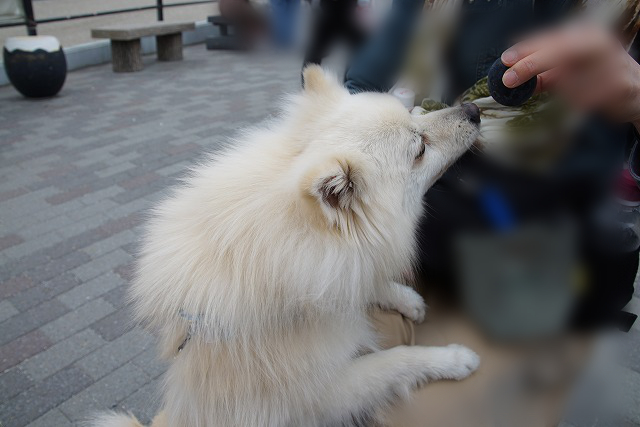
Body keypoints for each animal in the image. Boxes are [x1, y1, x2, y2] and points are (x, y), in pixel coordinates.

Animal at [90, 67, 480, 427]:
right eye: (420, 149)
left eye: (413, 112)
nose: (474, 109)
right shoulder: (327, 392)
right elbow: (397, 359)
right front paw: (453, 359)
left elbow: (363, 283)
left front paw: (407, 299)